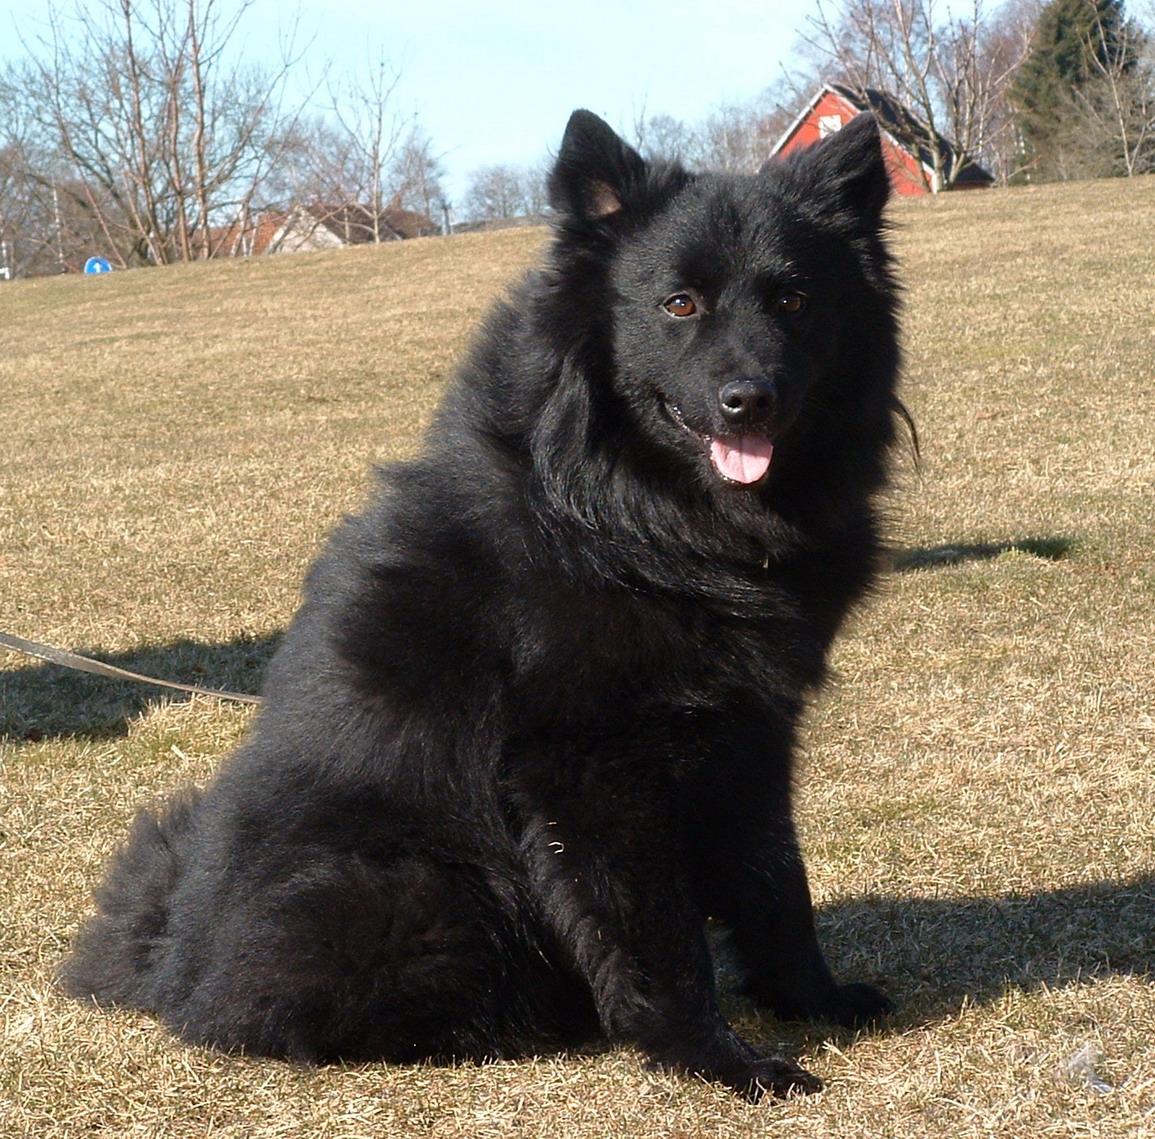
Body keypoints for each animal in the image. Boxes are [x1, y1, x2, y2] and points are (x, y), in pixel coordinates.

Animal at [63, 110, 905, 1095]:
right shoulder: (588, 770)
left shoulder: (750, 733)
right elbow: (658, 939)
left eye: (794, 302)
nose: (748, 400)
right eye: (679, 305)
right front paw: (716, 1058)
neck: (636, 522)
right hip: (422, 884)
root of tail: (170, 961)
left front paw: (813, 998)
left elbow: (776, 883)